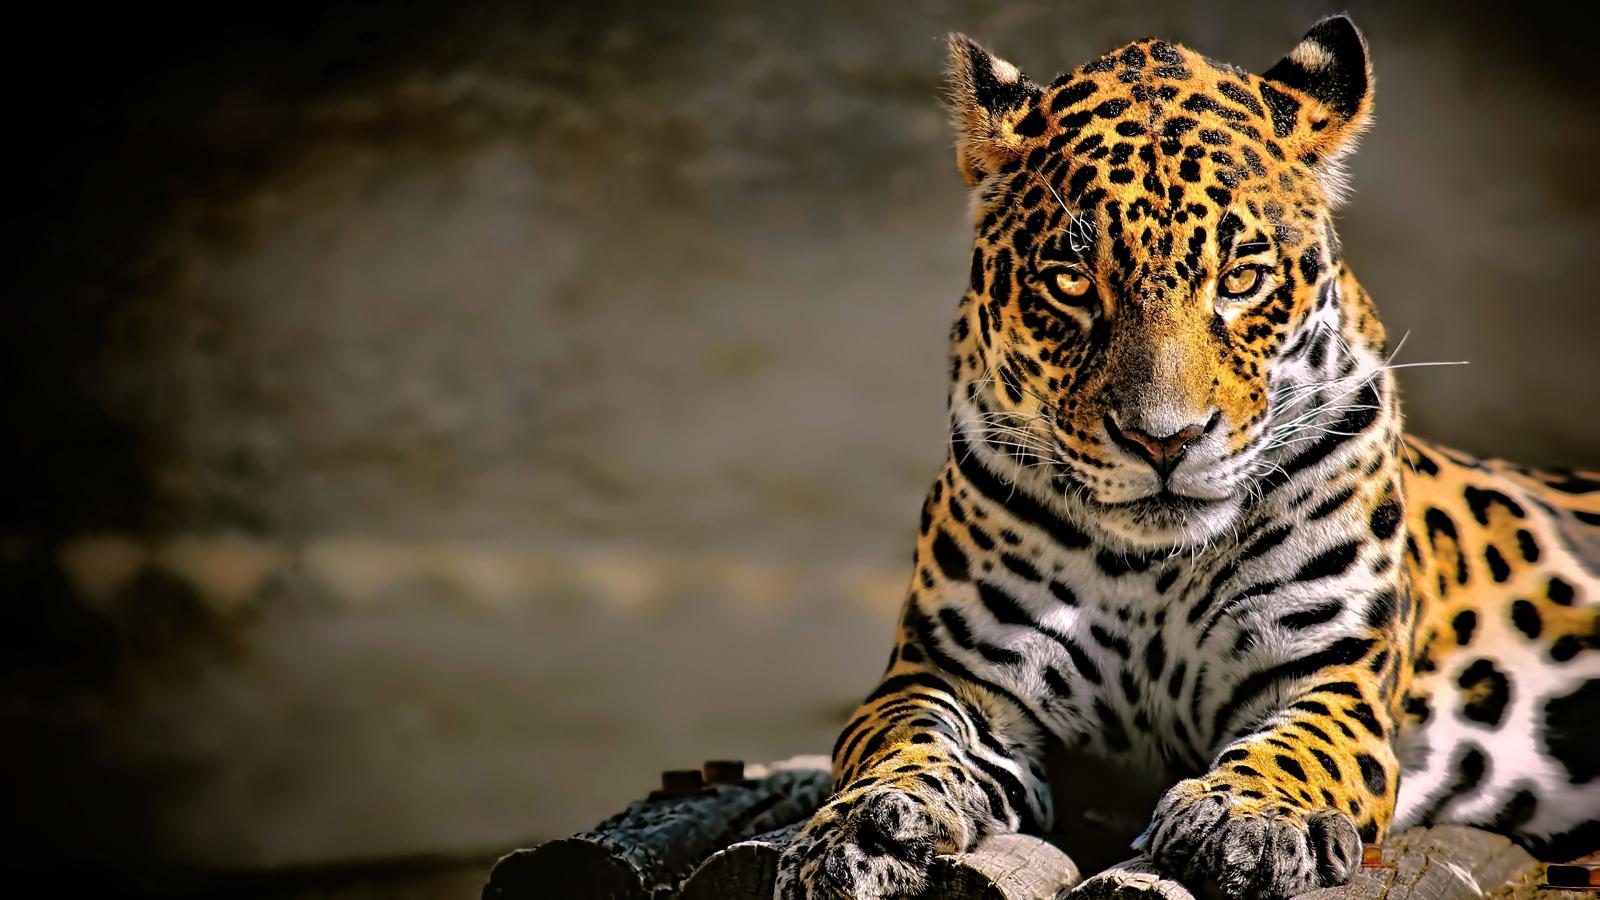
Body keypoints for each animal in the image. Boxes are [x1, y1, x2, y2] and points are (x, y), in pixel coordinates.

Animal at [774, 15, 1599, 900]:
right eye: (1072, 283)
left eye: (1240, 279)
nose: (1162, 440)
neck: (1154, 570)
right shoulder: (951, 671)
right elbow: (897, 737)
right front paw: (860, 827)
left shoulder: (1334, 671)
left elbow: (1300, 745)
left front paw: (1249, 819)